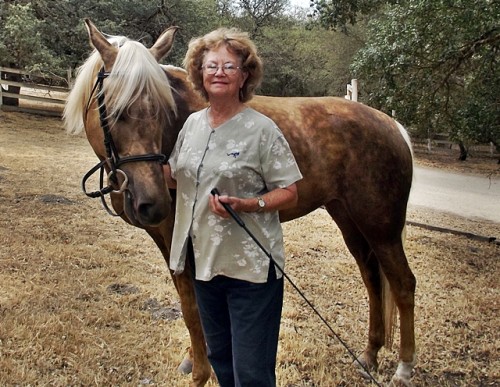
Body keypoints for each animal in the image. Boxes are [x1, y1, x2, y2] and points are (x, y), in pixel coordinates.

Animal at [65, 19, 418, 386]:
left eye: (163, 110)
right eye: (115, 112)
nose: (153, 202)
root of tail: (392, 125)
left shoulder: (179, 236)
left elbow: (191, 306)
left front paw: (201, 370)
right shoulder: (166, 237)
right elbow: (190, 300)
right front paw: (195, 358)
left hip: (381, 228)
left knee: (403, 284)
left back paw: (404, 366)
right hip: (351, 222)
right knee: (373, 279)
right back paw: (370, 354)